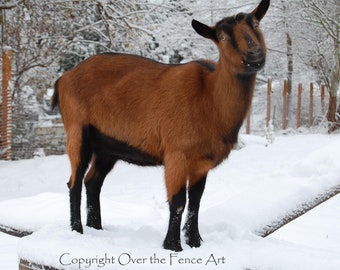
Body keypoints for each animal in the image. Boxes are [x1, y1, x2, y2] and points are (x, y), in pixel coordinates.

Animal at [51, 0, 270, 252]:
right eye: (223, 37)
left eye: (256, 24)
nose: (254, 54)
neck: (209, 97)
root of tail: (64, 78)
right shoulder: (176, 155)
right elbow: (178, 201)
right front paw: (173, 246)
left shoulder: (201, 163)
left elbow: (196, 201)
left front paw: (195, 243)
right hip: (77, 131)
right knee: (74, 182)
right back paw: (77, 230)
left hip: (107, 146)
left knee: (93, 182)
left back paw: (96, 227)